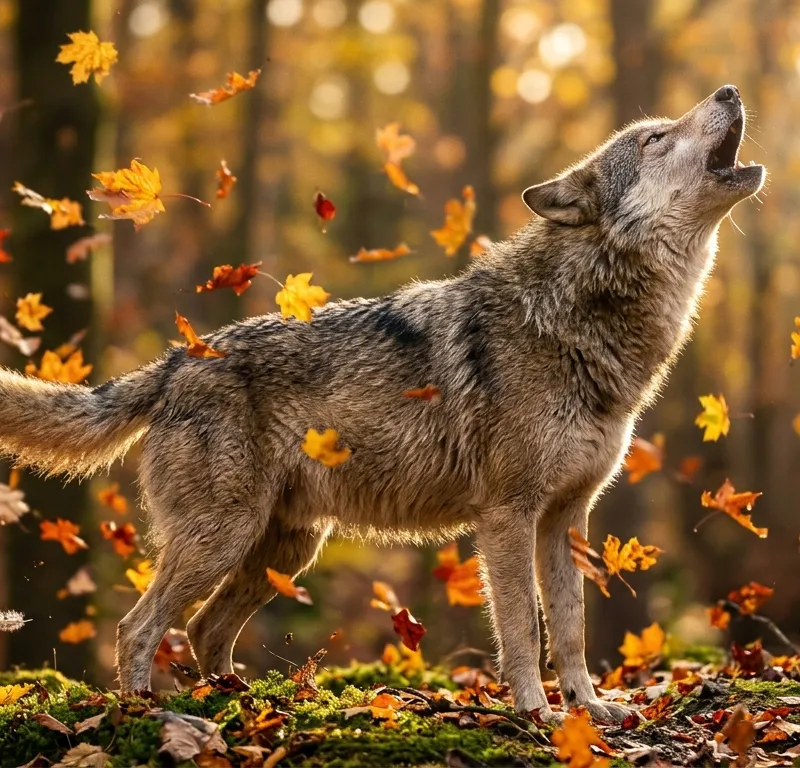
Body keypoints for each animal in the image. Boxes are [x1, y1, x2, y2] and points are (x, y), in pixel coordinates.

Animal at [0, 85, 764, 721]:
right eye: (656, 137)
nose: (729, 89)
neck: (579, 317)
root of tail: (178, 358)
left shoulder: (566, 518)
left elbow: (570, 629)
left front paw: (591, 709)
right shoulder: (508, 516)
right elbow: (524, 625)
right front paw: (537, 714)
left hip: (285, 549)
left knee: (203, 629)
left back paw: (249, 707)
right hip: (225, 537)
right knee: (140, 627)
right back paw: (147, 714)